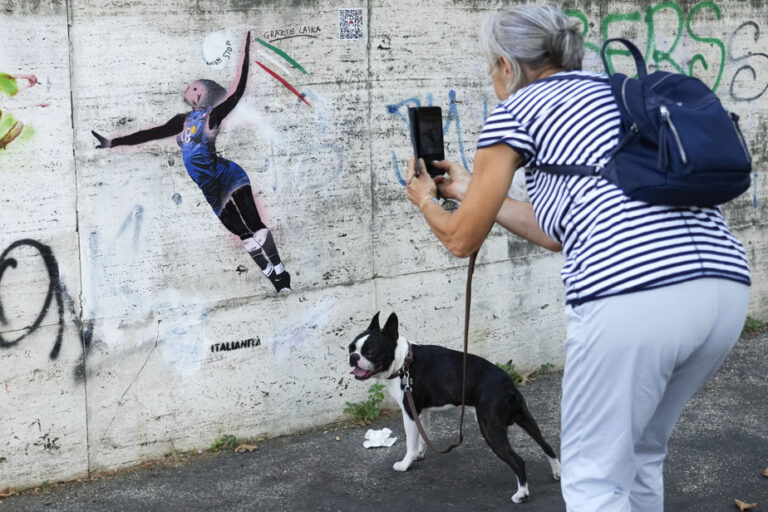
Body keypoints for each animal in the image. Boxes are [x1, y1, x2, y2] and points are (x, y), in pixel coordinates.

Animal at [348, 312, 560, 504]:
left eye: (370, 352)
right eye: (351, 347)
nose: (353, 357)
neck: (403, 363)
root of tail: (506, 383)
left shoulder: (409, 412)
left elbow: (411, 442)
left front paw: (406, 463)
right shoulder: (421, 411)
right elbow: (423, 435)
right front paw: (420, 454)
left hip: (490, 428)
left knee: (517, 461)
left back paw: (522, 494)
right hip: (525, 418)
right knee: (546, 445)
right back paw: (557, 471)